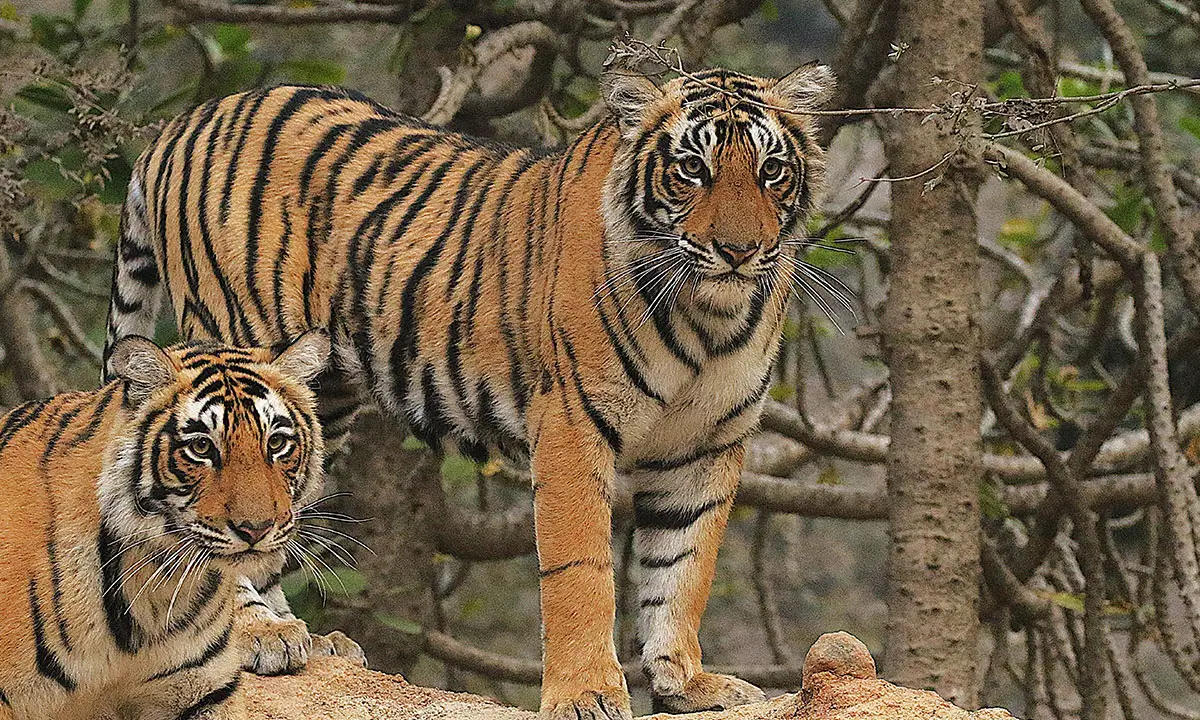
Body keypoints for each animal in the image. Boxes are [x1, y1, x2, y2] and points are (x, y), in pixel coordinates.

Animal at [100, 61, 835, 718]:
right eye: (692, 169)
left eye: (771, 171)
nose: (739, 251)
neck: (711, 315)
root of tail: (180, 123)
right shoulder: (572, 426)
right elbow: (581, 573)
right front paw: (586, 694)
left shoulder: (707, 445)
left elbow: (683, 570)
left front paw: (687, 684)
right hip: (240, 340)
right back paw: (260, 635)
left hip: (319, 390)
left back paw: (307, 641)